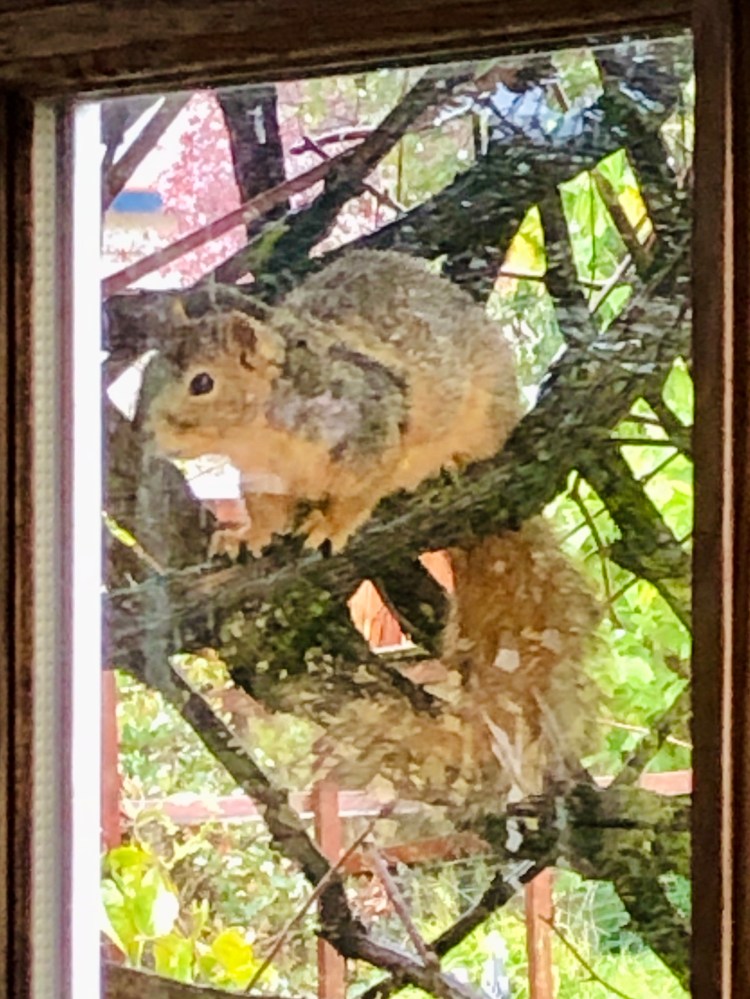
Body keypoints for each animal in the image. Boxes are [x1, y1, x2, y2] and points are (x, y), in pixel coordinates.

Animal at [143, 250, 598, 805]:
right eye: (147, 373)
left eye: (202, 383)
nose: (150, 435)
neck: (258, 436)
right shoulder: (262, 479)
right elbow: (265, 511)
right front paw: (244, 536)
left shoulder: (369, 419)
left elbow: (364, 484)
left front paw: (333, 525)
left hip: (485, 412)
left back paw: (448, 464)